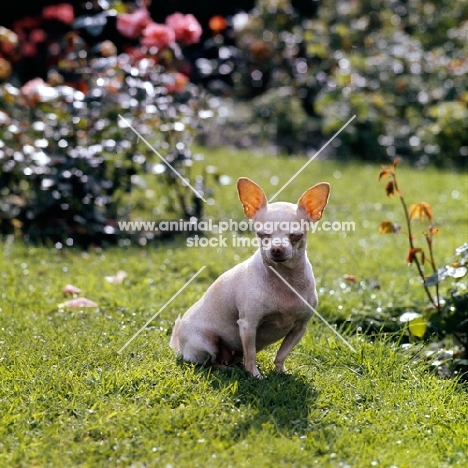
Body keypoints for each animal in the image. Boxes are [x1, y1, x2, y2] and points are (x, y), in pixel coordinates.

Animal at [171, 176, 330, 376]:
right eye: (262, 234)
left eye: (296, 235)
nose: (276, 249)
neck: (285, 279)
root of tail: (179, 345)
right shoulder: (248, 325)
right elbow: (251, 353)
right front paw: (255, 375)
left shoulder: (299, 328)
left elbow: (281, 353)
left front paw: (280, 372)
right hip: (205, 343)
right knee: (211, 362)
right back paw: (226, 369)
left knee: (236, 356)